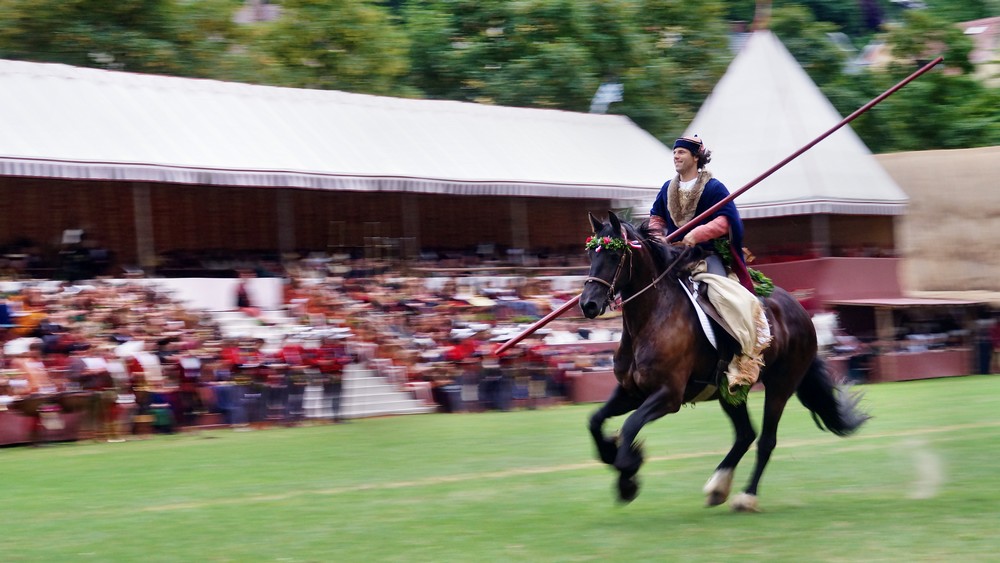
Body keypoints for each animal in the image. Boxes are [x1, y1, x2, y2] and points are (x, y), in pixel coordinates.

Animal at [580, 212, 868, 512]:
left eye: (615, 255)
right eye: (590, 253)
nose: (588, 304)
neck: (652, 318)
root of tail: (801, 311)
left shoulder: (667, 396)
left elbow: (630, 426)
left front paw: (628, 476)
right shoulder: (631, 392)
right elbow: (595, 420)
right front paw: (613, 454)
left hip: (780, 386)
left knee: (766, 440)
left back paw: (747, 496)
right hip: (731, 390)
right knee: (745, 434)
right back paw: (719, 487)